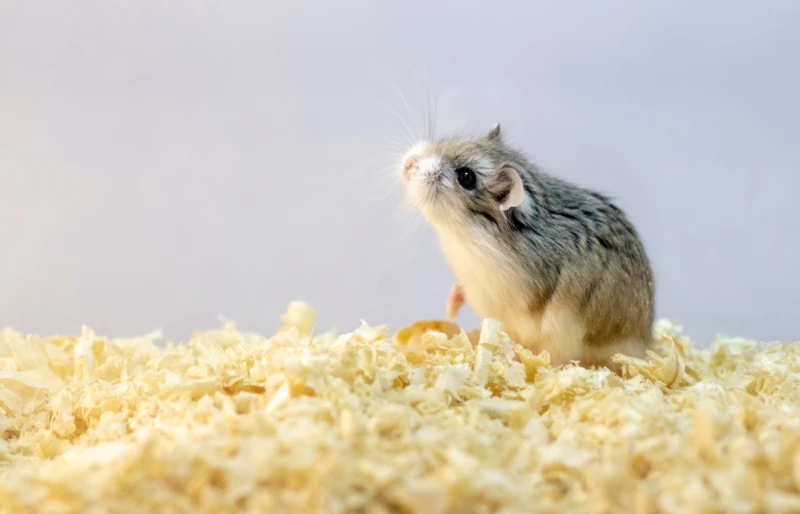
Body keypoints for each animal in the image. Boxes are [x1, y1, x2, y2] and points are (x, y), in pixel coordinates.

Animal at [400, 122, 656, 366]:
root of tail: (644, 345)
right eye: (451, 141)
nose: (408, 164)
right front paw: (449, 311)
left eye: (466, 177)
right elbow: (459, 288)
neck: (469, 235)